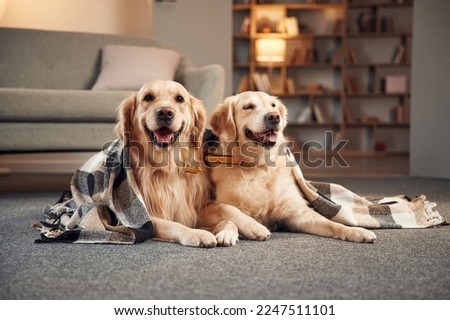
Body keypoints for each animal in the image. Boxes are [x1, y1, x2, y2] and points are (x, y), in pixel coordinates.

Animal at [199, 91, 378, 246]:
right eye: (248, 106)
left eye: (273, 106)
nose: (274, 117)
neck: (258, 165)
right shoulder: (205, 207)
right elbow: (227, 210)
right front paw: (245, 228)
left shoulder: (297, 213)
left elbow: (330, 223)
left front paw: (355, 231)